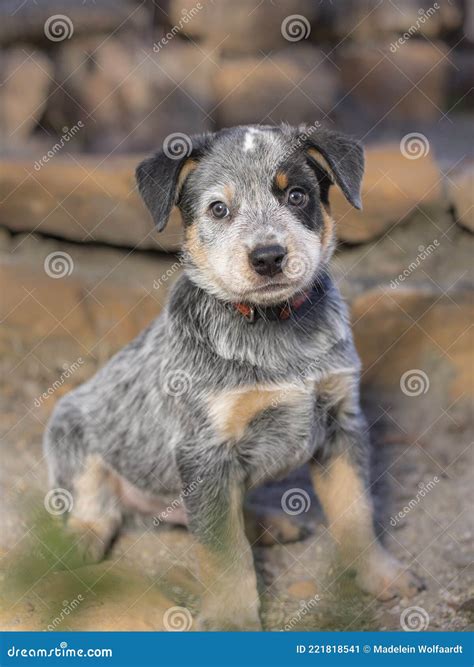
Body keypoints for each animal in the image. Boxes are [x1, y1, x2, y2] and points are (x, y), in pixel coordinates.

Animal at [43, 125, 422, 632]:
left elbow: (356, 511)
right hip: (71, 427)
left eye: (296, 195)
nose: (268, 257)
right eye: (218, 209)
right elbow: (225, 554)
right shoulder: (205, 451)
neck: (275, 327)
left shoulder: (342, 423)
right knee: (97, 505)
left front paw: (381, 573)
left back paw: (270, 524)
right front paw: (231, 621)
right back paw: (80, 540)